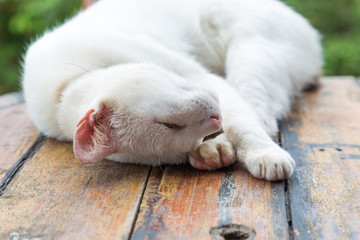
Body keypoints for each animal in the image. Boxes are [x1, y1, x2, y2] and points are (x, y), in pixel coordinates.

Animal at [21, 0, 320, 181]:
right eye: (173, 128)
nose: (215, 118)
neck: (62, 94)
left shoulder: (204, 78)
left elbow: (241, 123)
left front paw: (265, 154)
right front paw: (211, 145)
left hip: (250, 54)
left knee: (261, 116)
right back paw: (215, 150)